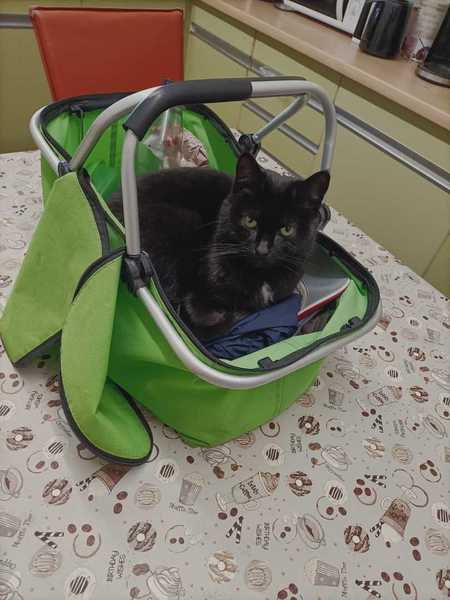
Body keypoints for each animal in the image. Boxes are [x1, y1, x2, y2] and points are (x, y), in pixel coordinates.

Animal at [108, 153, 330, 341]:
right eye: (249, 221)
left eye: (287, 230)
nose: (262, 250)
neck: (259, 277)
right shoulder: (198, 298)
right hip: (183, 220)